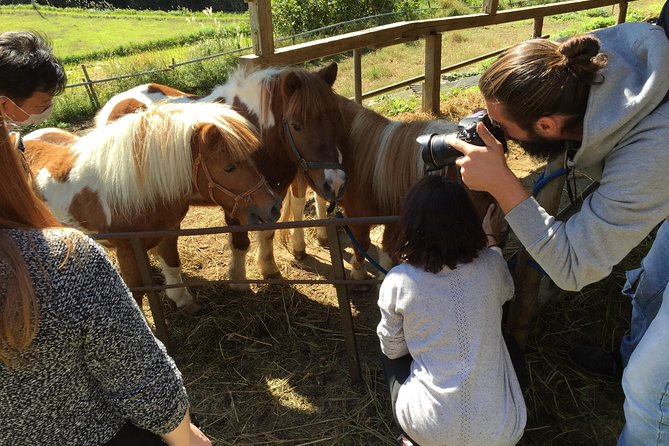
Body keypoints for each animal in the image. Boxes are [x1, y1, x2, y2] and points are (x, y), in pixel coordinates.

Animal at [22, 101, 280, 310]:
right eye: (229, 167)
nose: (273, 207)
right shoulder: (127, 250)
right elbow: (136, 293)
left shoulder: (169, 232)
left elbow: (173, 264)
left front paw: (182, 300)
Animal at [284, 96, 494, 280]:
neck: (375, 174)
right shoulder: (357, 217)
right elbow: (363, 243)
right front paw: (358, 273)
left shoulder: (394, 219)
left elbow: (388, 250)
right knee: (298, 202)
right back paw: (299, 247)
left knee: (319, 197)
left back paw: (323, 237)